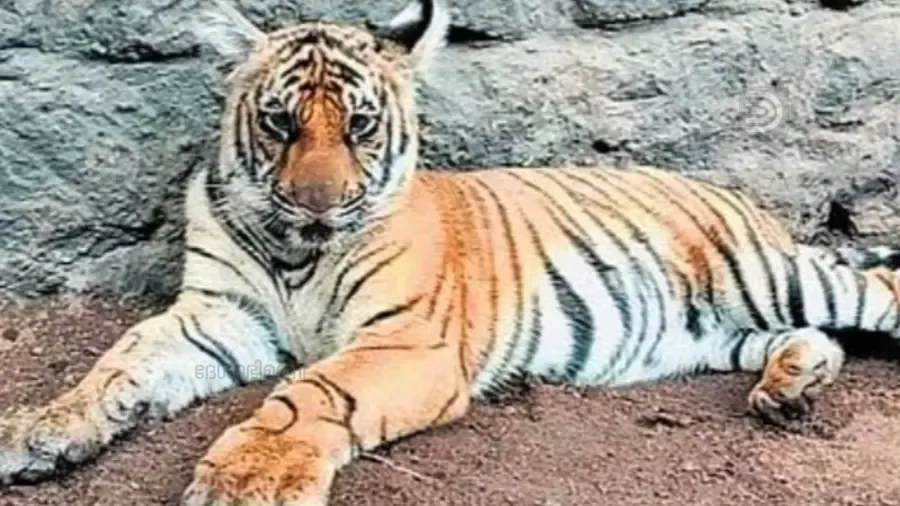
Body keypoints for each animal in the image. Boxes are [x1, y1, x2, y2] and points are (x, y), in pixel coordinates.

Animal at [2, 0, 900, 504]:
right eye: (281, 122)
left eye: (361, 125)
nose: (317, 204)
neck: (296, 252)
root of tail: (748, 203)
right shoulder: (219, 314)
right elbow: (120, 362)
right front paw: (40, 430)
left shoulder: (407, 342)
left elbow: (311, 394)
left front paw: (250, 475)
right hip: (716, 332)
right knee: (811, 339)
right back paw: (788, 391)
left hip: (773, 276)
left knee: (876, 294)